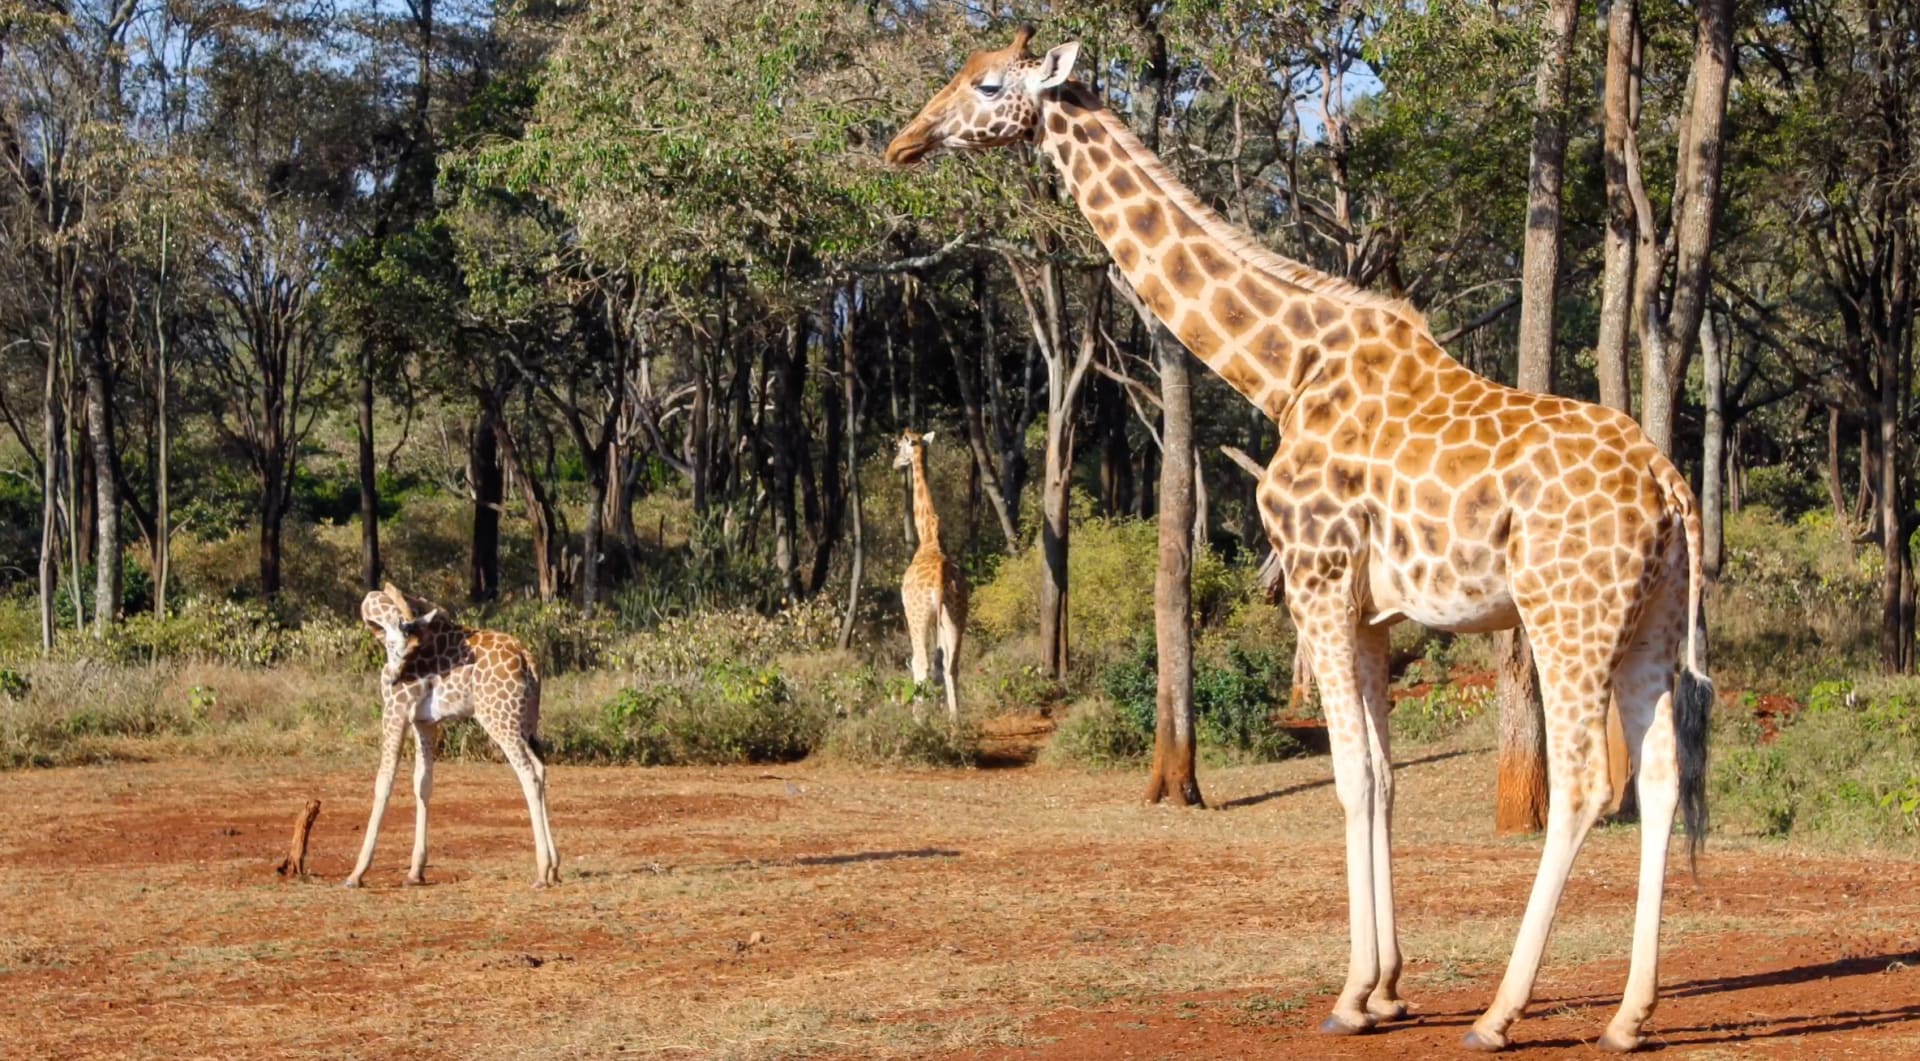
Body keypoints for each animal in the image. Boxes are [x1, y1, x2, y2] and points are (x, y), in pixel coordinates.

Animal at [345, 584, 560, 889]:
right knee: (541, 769)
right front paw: (415, 871)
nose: (397, 678)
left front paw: (357, 873)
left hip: (498, 717)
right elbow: (422, 783)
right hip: (525, 721)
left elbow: (383, 783)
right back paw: (554, 868)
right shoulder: (424, 721)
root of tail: (527, 659)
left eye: (409, 645)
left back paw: (541, 872)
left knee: (528, 773)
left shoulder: (395, 710)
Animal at [894, 430, 969, 719]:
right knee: (951, 664)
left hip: (919, 615)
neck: (928, 536)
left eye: (897, 446)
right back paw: (955, 719)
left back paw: (918, 720)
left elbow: (918, 662)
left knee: (921, 662)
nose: (895, 463)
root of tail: (940, 580)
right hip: (956, 613)